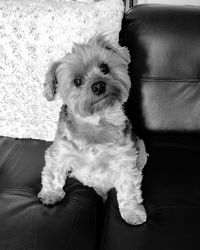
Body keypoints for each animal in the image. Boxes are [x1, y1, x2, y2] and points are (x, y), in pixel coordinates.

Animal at [38, 35, 147, 225]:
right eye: (77, 81)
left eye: (105, 67)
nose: (98, 85)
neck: (96, 122)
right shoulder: (60, 152)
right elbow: (53, 172)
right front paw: (51, 194)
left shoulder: (125, 159)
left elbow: (129, 189)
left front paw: (132, 213)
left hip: (141, 147)